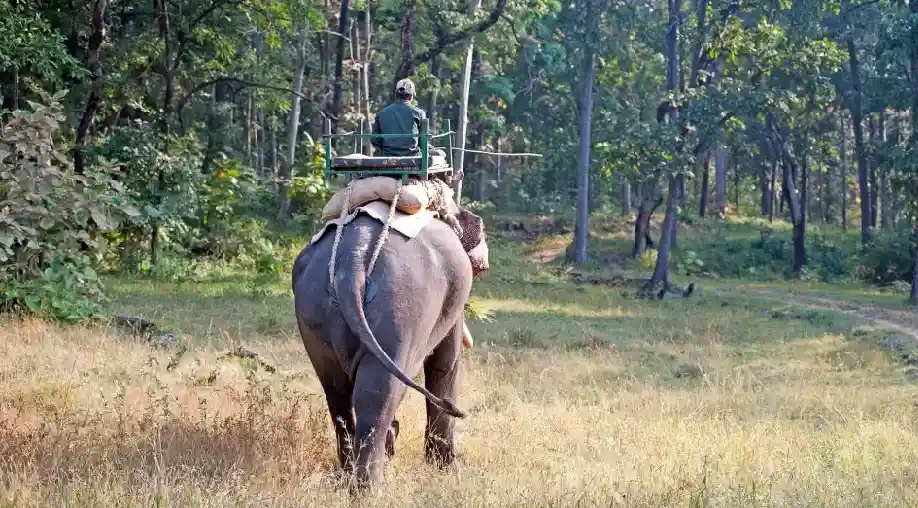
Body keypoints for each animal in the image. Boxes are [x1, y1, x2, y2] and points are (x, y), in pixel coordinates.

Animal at [291, 205, 489, 492]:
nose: (480, 223)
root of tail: (352, 259)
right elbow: (445, 364)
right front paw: (447, 469)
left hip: (313, 311)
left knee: (337, 393)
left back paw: (349, 474)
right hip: (400, 307)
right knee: (379, 393)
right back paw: (368, 489)